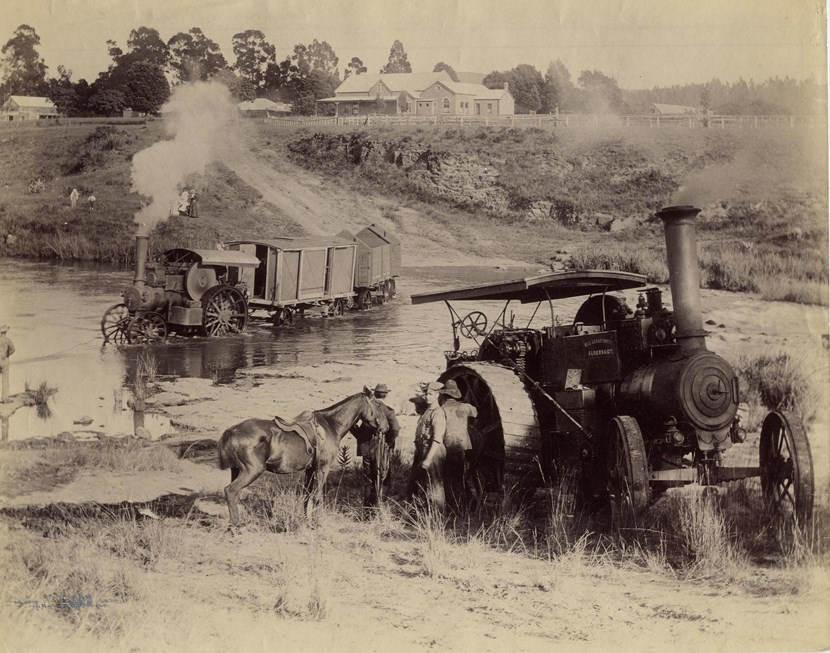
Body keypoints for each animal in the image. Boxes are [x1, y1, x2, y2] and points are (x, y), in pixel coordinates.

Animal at [216, 390, 388, 528]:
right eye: (378, 406)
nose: (386, 428)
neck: (330, 425)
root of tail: (232, 430)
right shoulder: (322, 468)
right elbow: (317, 497)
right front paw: (317, 523)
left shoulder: (310, 470)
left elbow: (306, 496)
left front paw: (306, 520)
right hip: (252, 471)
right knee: (231, 491)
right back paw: (236, 526)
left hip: (236, 470)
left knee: (234, 494)